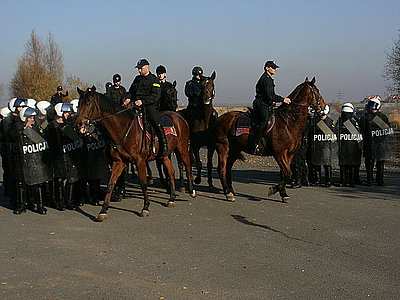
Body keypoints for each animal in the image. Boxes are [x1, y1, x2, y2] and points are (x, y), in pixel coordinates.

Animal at [75, 86, 195, 220]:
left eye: (88, 103)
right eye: (78, 104)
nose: (78, 125)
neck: (124, 128)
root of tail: (179, 117)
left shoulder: (140, 161)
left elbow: (143, 183)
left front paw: (145, 207)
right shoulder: (119, 162)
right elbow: (111, 183)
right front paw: (103, 210)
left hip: (182, 149)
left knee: (188, 166)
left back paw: (191, 190)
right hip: (163, 155)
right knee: (171, 171)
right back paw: (172, 198)